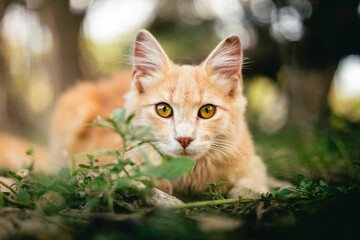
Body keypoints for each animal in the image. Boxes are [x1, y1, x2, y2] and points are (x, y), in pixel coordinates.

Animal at [48, 30, 282, 199]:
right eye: (164, 109)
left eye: (207, 111)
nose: (184, 139)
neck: (189, 176)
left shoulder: (250, 159)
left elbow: (255, 176)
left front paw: (252, 188)